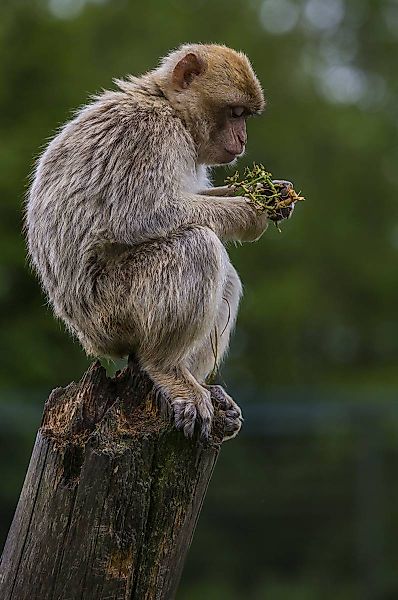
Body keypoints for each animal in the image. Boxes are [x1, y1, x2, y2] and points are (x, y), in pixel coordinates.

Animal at [25, 41, 292, 436]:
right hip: (112, 310)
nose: (242, 139)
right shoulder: (148, 134)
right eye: (235, 113)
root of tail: (86, 335)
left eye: (245, 116)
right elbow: (143, 215)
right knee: (197, 245)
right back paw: (167, 369)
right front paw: (252, 212)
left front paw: (268, 192)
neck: (168, 106)